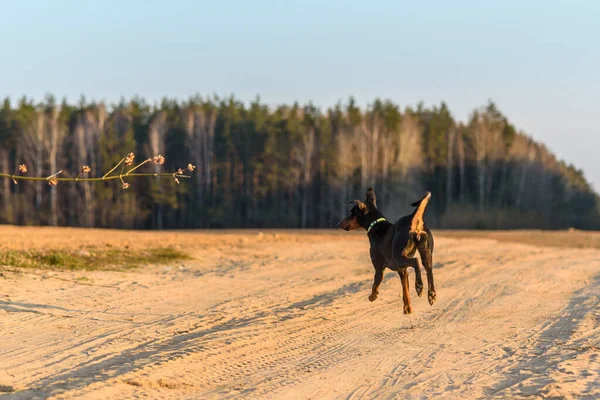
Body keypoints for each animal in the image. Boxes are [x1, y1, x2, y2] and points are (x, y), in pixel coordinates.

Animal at [338, 188, 436, 316]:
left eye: (352, 212)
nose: (338, 224)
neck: (375, 225)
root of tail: (414, 220)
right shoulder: (402, 271)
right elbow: (405, 290)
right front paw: (407, 308)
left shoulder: (380, 267)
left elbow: (376, 283)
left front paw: (373, 296)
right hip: (426, 254)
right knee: (428, 269)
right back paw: (431, 294)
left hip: (399, 257)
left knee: (416, 261)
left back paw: (419, 286)